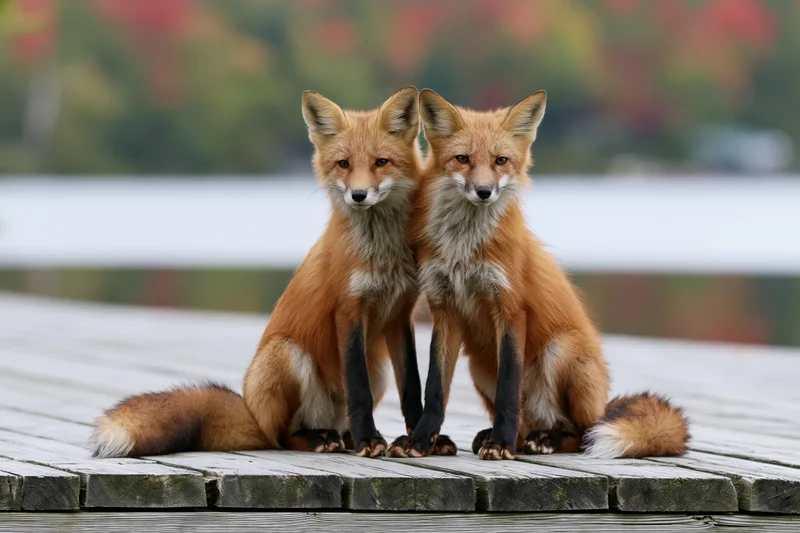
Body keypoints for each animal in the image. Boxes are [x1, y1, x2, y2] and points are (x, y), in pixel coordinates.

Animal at [91, 86, 453, 458]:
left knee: (338, 428)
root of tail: (252, 412)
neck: (382, 254)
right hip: (286, 355)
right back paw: (321, 438)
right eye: (344, 164)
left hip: (376, 371)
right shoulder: (348, 310)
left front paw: (418, 439)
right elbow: (358, 391)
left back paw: (347, 438)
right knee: (282, 437)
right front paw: (371, 439)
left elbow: (412, 387)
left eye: (381, 162)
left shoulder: (399, 313)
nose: (358, 195)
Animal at [387, 89, 690, 460]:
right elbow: (435, 389)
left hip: (561, 353)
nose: (484, 191)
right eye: (462, 159)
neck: (464, 247)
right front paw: (420, 439)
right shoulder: (445, 310)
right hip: (479, 367)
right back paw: (510, 437)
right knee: (533, 425)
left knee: (581, 433)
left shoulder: (511, 309)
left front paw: (500, 444)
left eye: (501, 161)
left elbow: (508, 389)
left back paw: (541, 439)